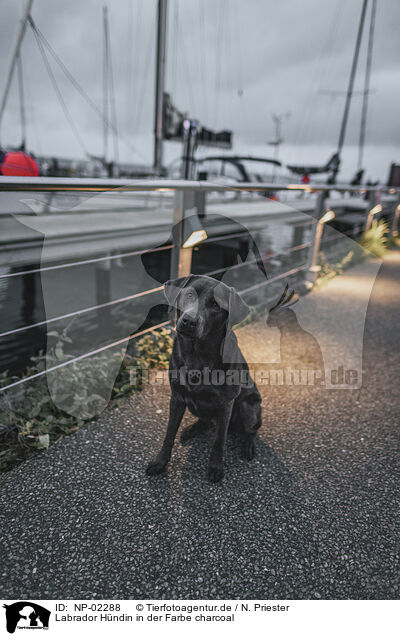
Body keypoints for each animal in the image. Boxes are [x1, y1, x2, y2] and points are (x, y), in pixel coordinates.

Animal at [145, 274, 260, 482]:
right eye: (190, 294)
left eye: (215, 305)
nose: (189, 321)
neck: (197, 355)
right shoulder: (177, 398)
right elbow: (169, 434)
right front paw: (160, 462)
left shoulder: (226, 404)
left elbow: (219, 440)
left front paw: (215, 466)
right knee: (205, 421)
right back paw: (191, 430)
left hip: (249, 407)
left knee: (251, 431)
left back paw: (247, 446)